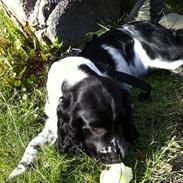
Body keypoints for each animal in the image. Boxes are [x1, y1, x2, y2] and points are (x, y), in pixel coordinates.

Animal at [7, 21, 183, 179]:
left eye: (121, 121)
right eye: (96, 128)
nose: (121, 156)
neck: (75, 74)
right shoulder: (53, 120)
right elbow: (33, 144)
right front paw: (17, 172)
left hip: (163, 56)